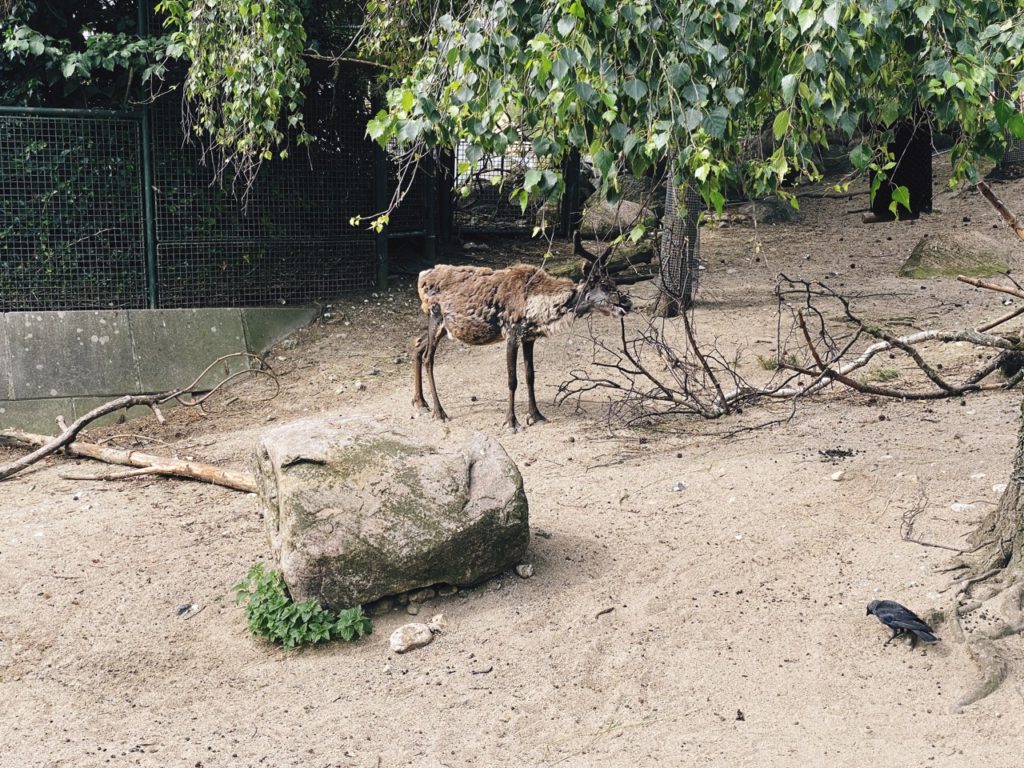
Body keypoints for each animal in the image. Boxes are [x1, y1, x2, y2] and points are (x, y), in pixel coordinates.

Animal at [412, 234, 632, 432]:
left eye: (614, 281)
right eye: (604, 285)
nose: (627, 302)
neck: (538, 307)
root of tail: (422, 276)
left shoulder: (529, 337)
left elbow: (529, 375)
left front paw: (536, 415)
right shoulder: (512, 333)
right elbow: (512, 380)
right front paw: (511, 422)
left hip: (444, 327)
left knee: (418, 344)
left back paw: (420, 402)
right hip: (436, 317)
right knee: (428, 357)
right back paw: (439, 411)